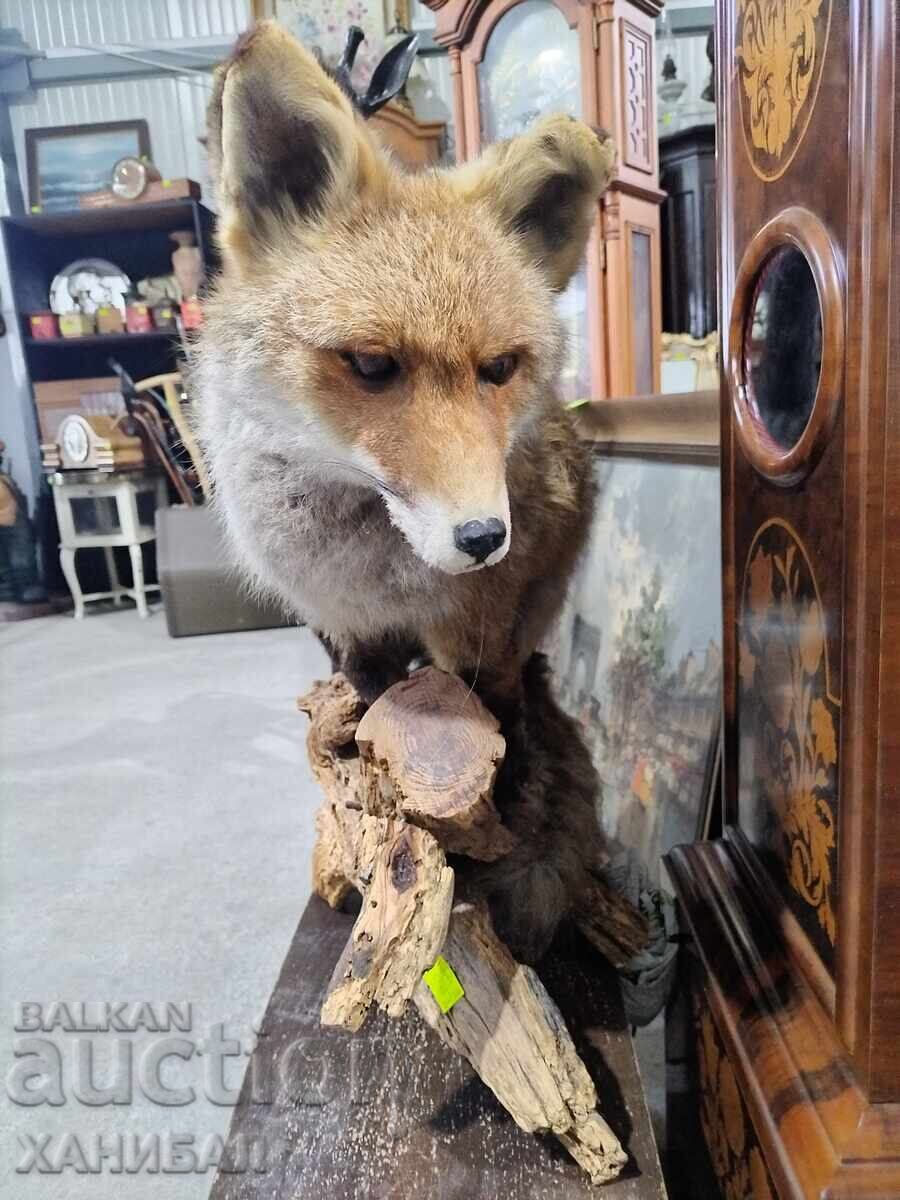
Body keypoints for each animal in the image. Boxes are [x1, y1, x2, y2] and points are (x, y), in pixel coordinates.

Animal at [196, 21, 617, 960]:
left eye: (499, 369)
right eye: (371, 364)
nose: (483, 538)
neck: (375, 574)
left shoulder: (479, 629)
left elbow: (494, 722)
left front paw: (490, 831)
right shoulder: (340, 621)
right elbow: (362, 698)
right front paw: (358, 761)